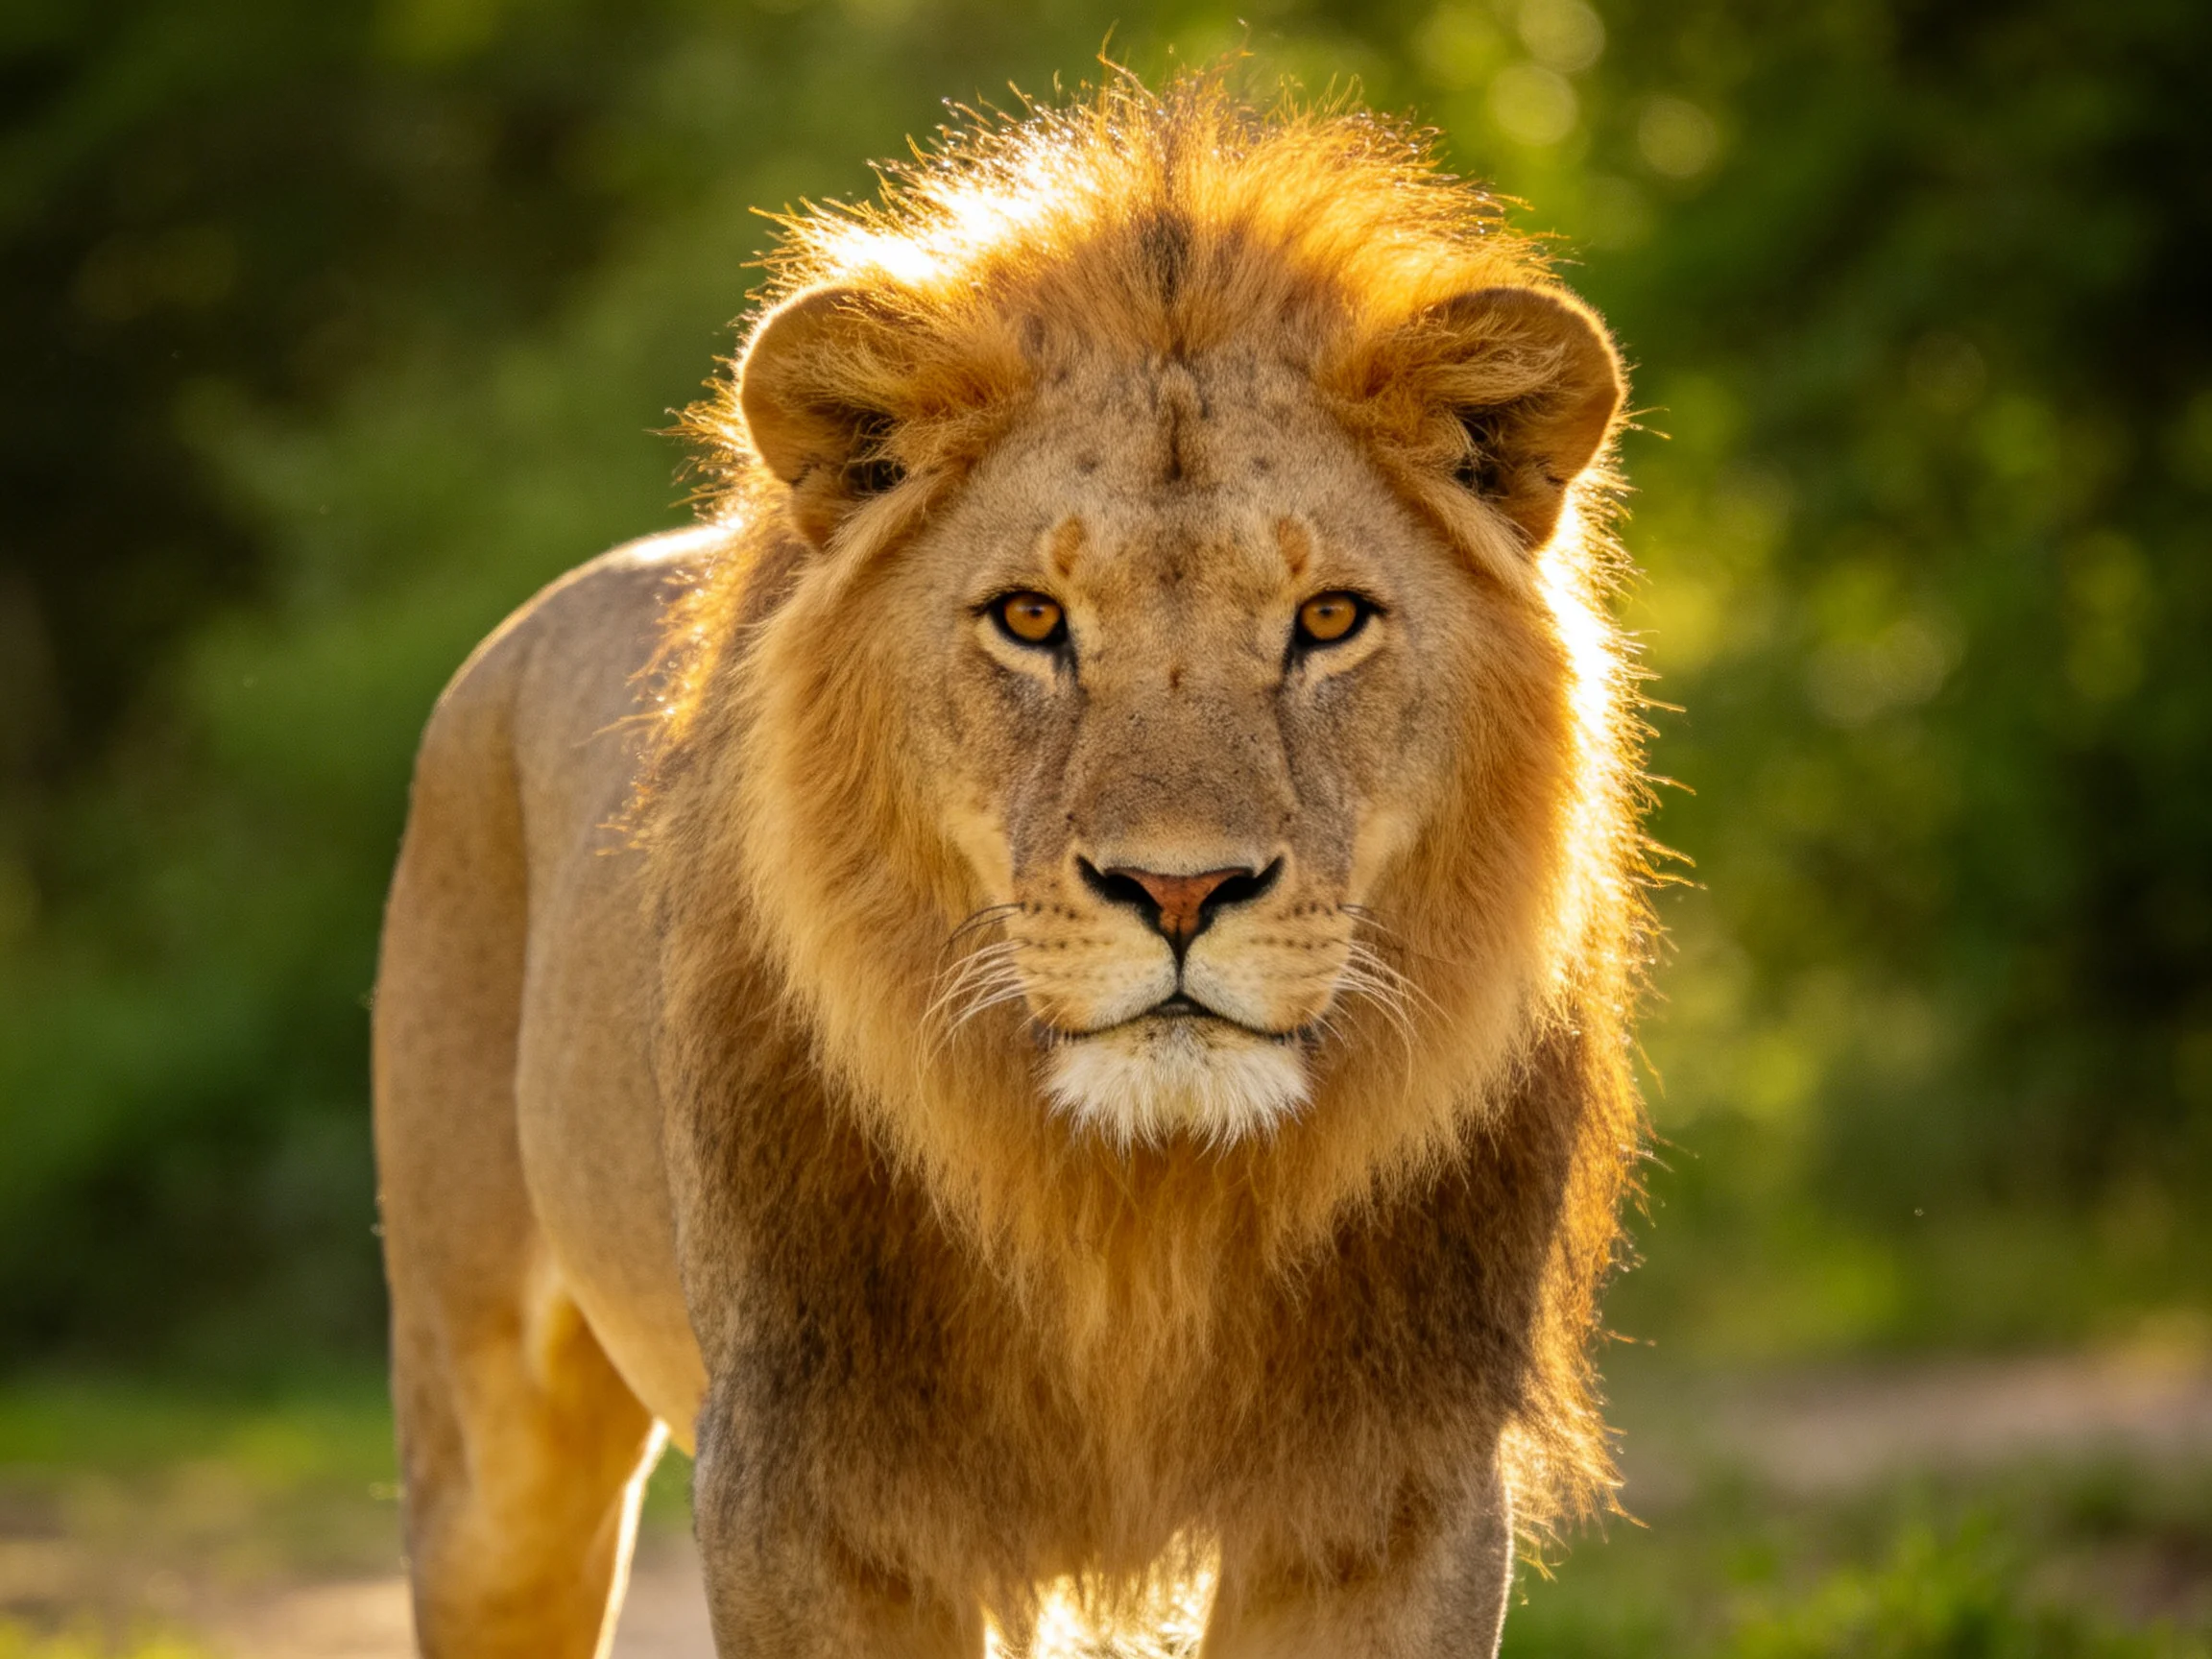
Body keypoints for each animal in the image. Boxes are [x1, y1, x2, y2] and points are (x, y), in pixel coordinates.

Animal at [372, 74, 1648, 1659]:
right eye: (1032, 618)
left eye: (1331, 618)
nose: (1180, 892)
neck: (1138, 1208)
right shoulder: (816, 1487)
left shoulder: (1392, 1496)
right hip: (484, 1444)